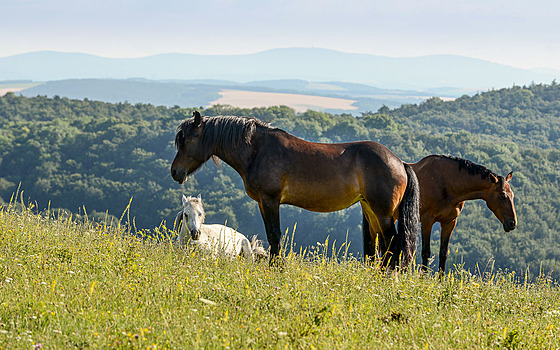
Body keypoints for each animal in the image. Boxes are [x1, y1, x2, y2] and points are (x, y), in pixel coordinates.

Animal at [171, 110, 420, 266]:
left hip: (383, 214)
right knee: (384, 246)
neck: (257, 150)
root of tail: (400, 163)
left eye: (188, 140)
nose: (175, 172)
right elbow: (272, 236)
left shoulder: (270, 200)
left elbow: (274, 235)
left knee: (393, 246)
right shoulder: (263, 203)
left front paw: (276, 268)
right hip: (371, 211)